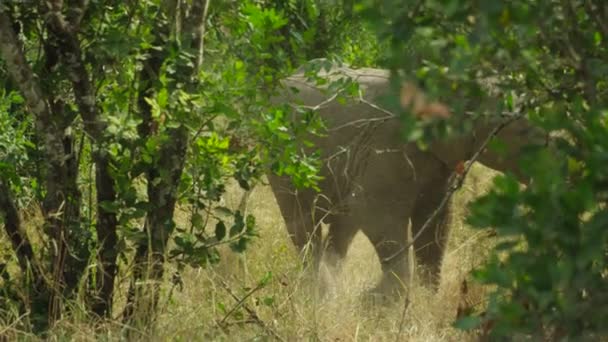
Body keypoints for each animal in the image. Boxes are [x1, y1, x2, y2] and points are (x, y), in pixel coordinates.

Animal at [266, 62, 548, 296]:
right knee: (303, 222)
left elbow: (436, 224)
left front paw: (423, 301)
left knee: (343, 225)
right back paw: (321, 292)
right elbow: (375, 215)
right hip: (284, 159)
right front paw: (375, 302)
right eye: (520, 132)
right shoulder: (388, 146)